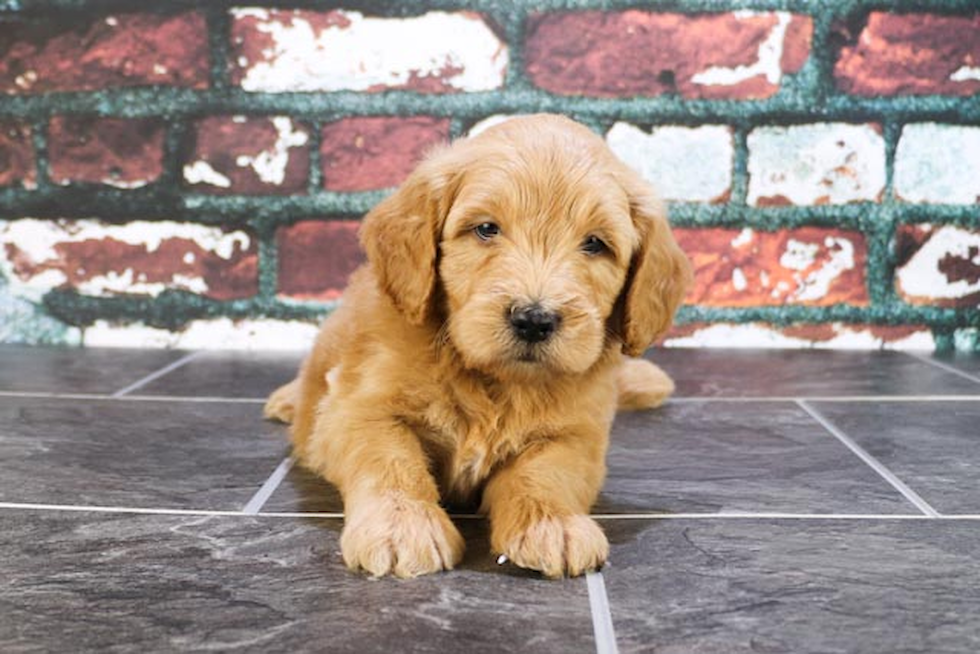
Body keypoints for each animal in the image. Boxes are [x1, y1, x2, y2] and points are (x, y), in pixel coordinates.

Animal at [264, 114, 692, 580]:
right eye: (486, 229)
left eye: (595, 243)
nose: (534, 320)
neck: (492, 380)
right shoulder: (356, 410)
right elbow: (390, 460)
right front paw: (402, 525)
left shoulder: (577, 436)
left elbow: (544, 473)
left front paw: (552, 524)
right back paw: (287, 399)